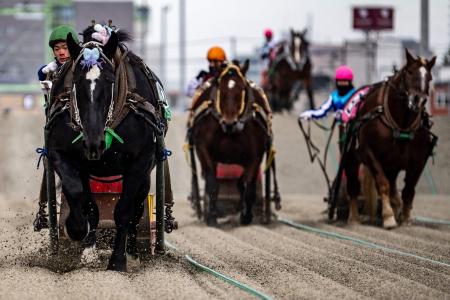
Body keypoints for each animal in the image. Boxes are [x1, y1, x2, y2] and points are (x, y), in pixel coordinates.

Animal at [46, 28, 168, 272]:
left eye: (110, 80)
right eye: (77, 80)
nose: (94, 143)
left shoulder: (140, 161)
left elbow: (124, 211)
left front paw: (118, 260)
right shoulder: (62, 154)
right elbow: (79, 196)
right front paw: (78, 232)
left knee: (137, 207)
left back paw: (133, 251)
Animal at [185, 60, 278, 225]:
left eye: (241, 89)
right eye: (221, 90)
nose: (230, 121)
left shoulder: (255, 153)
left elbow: (248, 184)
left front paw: (246, 216)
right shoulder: (203, 149)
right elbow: (212, 183)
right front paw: (211, 216)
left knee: (242, 183)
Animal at [342, 48, 436, 227]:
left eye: (429, 77)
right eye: (410, 72)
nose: (418, 99)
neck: (401, 123)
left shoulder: (419, 158)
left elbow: (409, 189)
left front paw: (405, 218)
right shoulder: (370, 152)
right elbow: (382, 184)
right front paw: (388, 217)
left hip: (392, 163)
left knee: (393, 184)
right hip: (351, 156)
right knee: (353, 185)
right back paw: (354, 218)